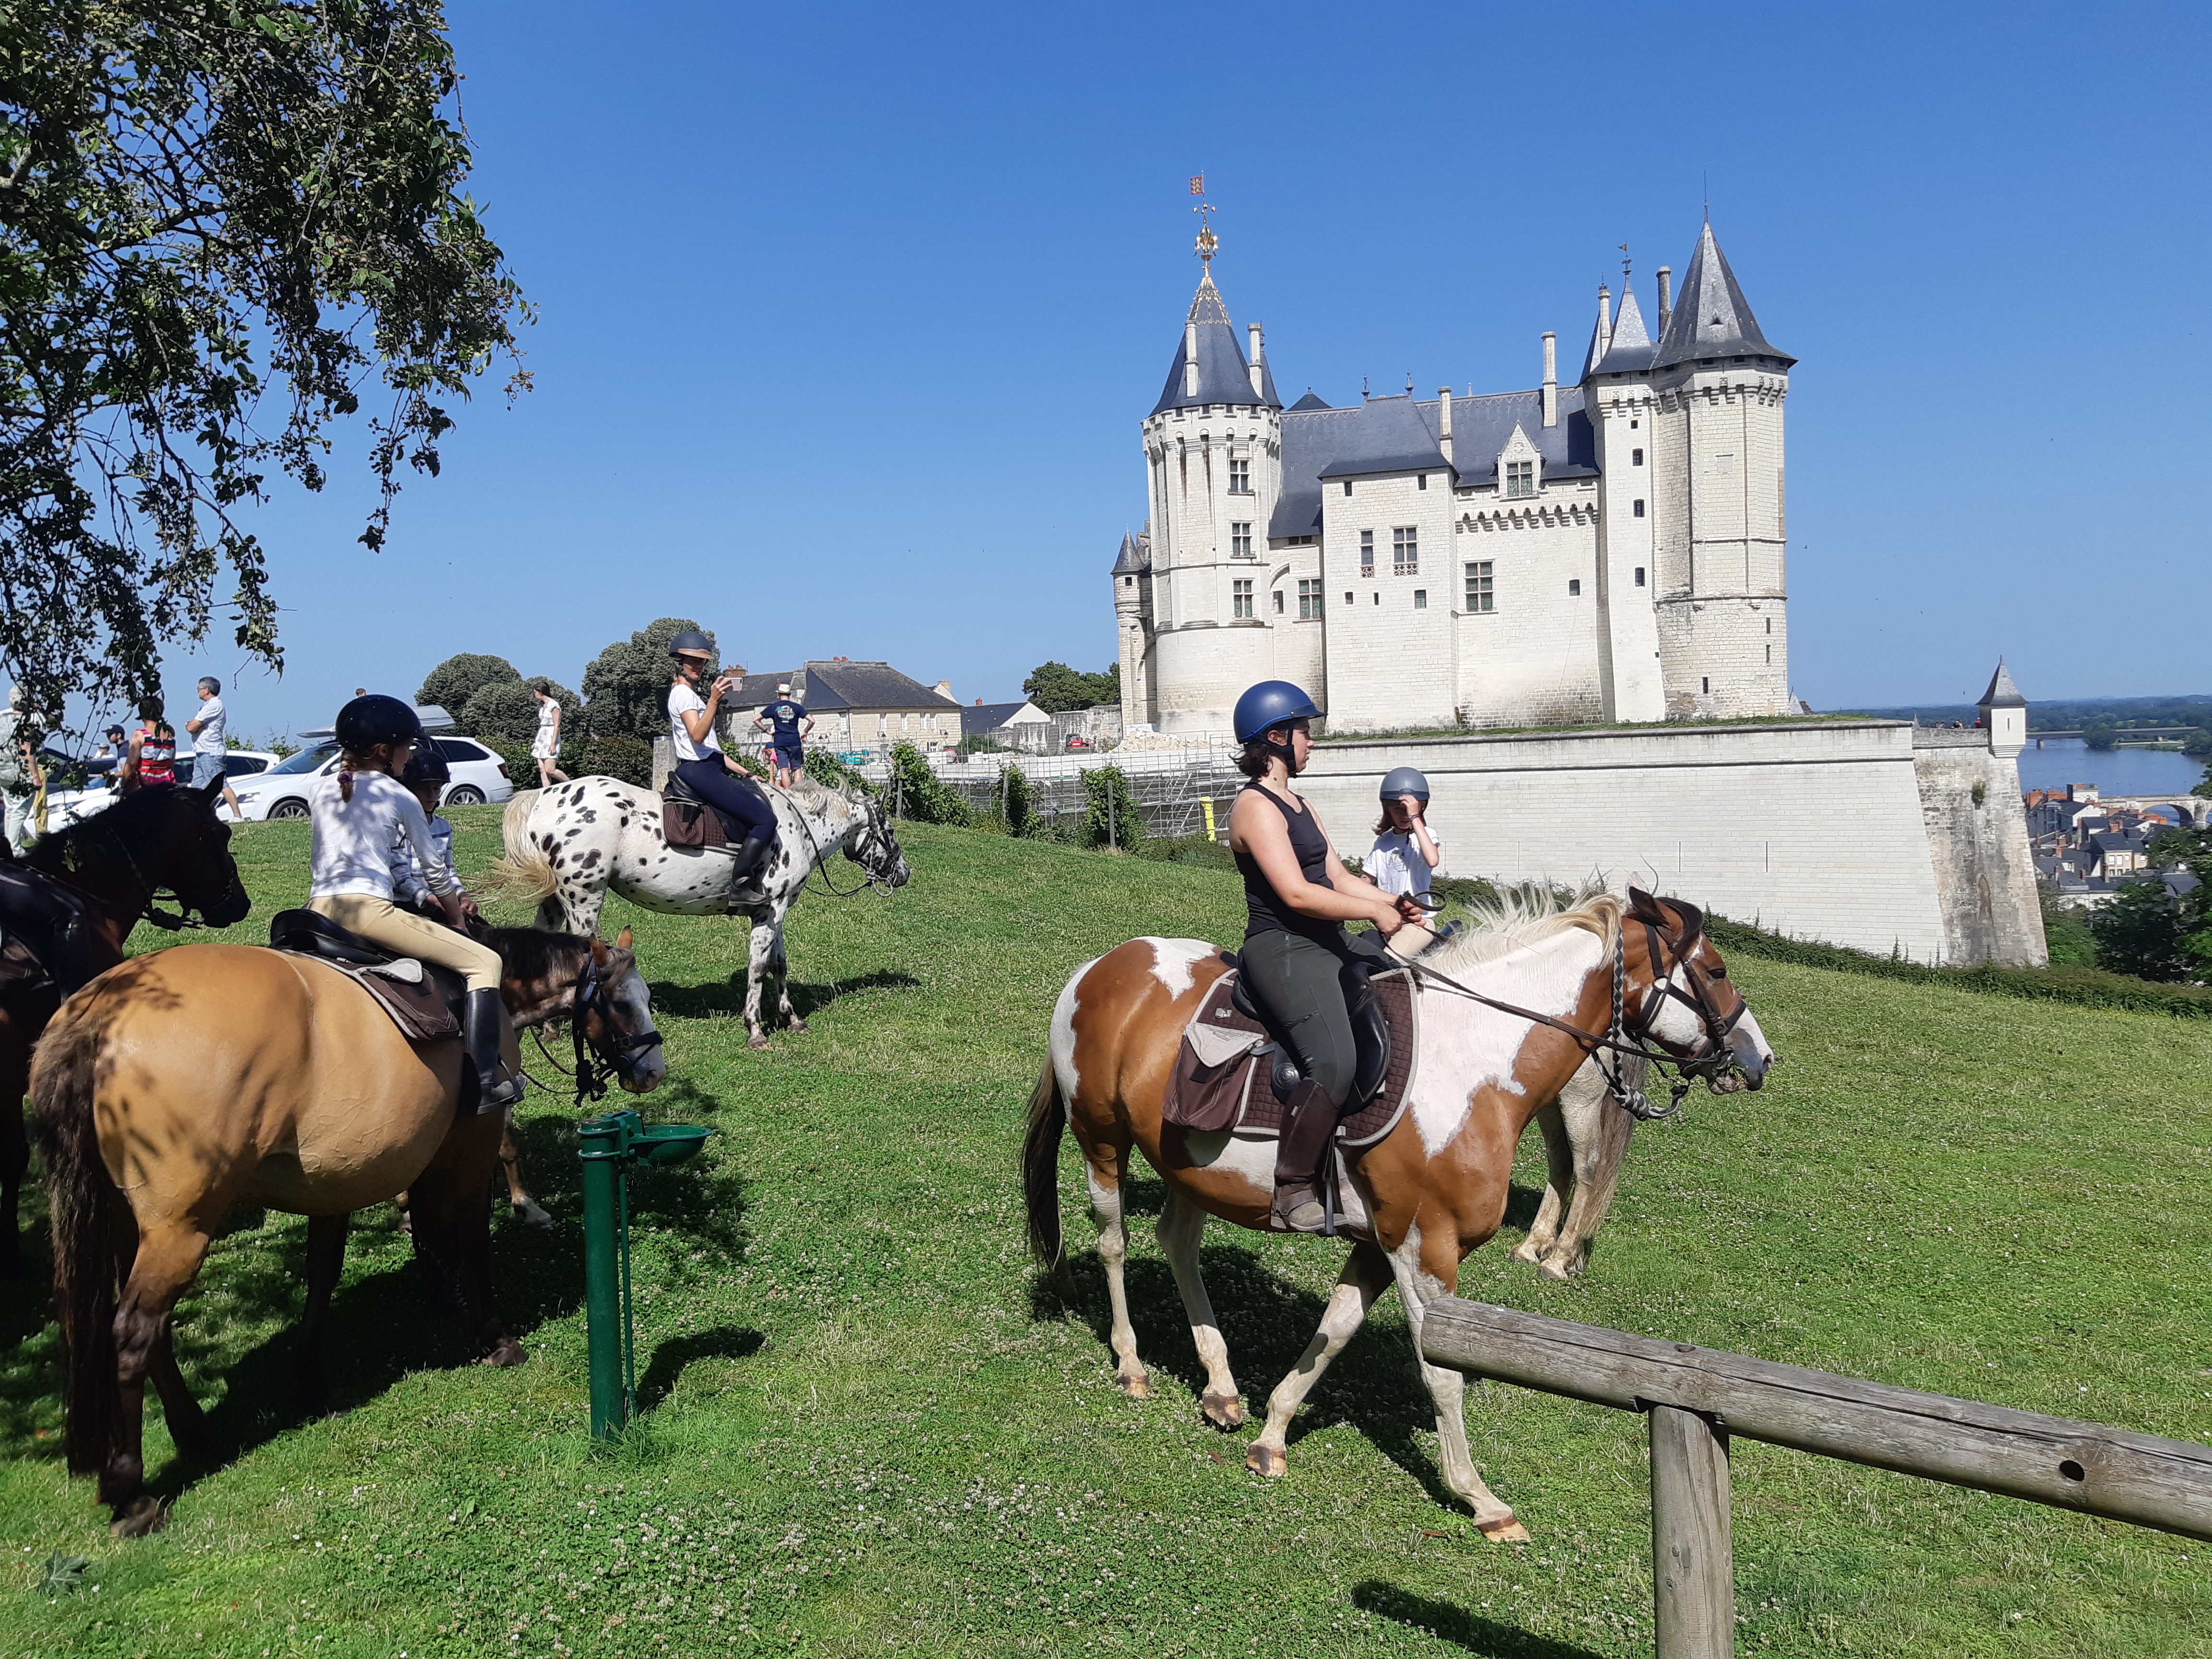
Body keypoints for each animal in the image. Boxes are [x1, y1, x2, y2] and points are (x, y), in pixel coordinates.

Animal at [28, 929, 663, 1539]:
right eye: (621, 1002)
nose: (654, 1069)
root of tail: (102, 1010)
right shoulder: (469, 1146)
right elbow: (466, 1235)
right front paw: (490, 1334)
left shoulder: (336, 1177)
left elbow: (326, 1270)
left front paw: (313, 1375)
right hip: (182, 1226)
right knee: (133, 1333)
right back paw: (130, 1492)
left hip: (125, 1225)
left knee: (150, 1331)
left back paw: (192, 1431)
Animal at [500, 779, 907, 1053]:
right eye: (889, 831)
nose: (903, 874)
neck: (798, 828)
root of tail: (543, 797)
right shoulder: (769, 911)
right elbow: (758, 969)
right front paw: (755, 1030)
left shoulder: (775, 910)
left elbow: (779, 965)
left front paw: (792, 1018)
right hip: (583, 899)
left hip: (555, 901)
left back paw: (548, 1029)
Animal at [1022, 898, 1778, 1548]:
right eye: (1716, 970)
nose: (1758, 1059)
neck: (1472, 1063)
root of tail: (1102, 966)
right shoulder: (1424, 1249)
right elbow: (1440, 1376)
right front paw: (1481, 1499)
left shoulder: (1380, 1246)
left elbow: (1334, 1333)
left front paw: (1272, 1435)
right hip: (1102, 1141)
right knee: (1115, 1245)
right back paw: (1130, 1364)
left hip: (1189, 1169)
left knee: (1177, 1246)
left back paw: (1221, 1385)